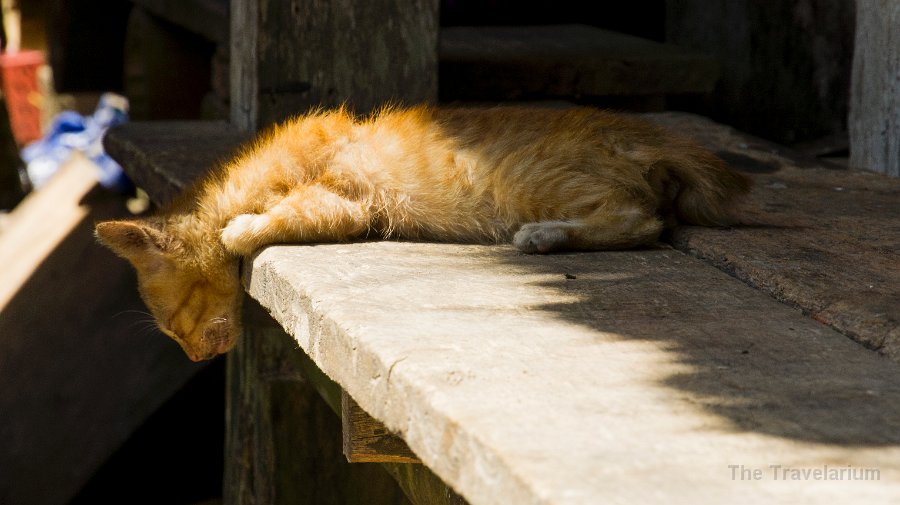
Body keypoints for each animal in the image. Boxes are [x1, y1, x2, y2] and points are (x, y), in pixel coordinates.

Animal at [95, 105, 748, 358]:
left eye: (174, 322)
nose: (197, 357)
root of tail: (647, 134)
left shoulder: (342, 202)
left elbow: (255, 224)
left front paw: (239, 228)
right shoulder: (348, 208)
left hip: (529, 181)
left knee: (644, 219)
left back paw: (543, 236)